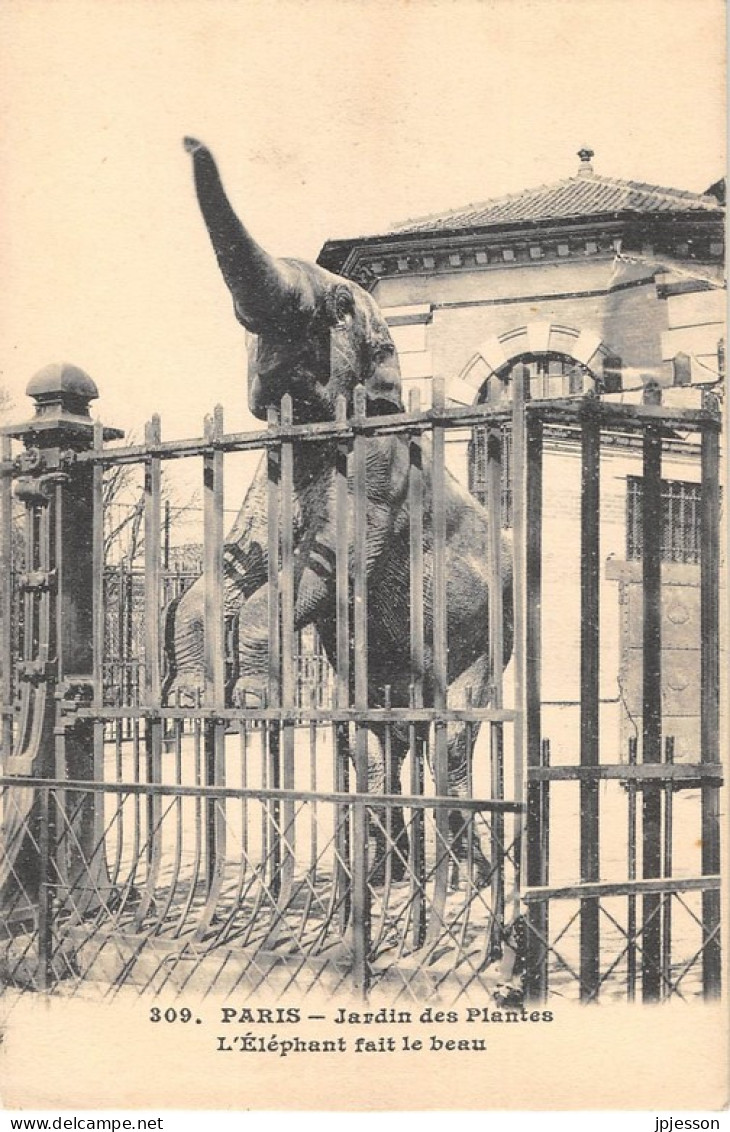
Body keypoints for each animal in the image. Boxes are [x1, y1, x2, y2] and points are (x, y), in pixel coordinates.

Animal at [165, 139, 511, 882]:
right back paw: (385, 876)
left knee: (451, 737)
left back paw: (463, 877)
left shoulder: (379, 473)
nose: (190, 143)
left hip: (492, 637)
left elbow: (323, 569)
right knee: (374, 744)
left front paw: (249, 706)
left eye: (340, 306)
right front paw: (187, 701)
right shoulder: (271, 467)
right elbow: (238, 564)